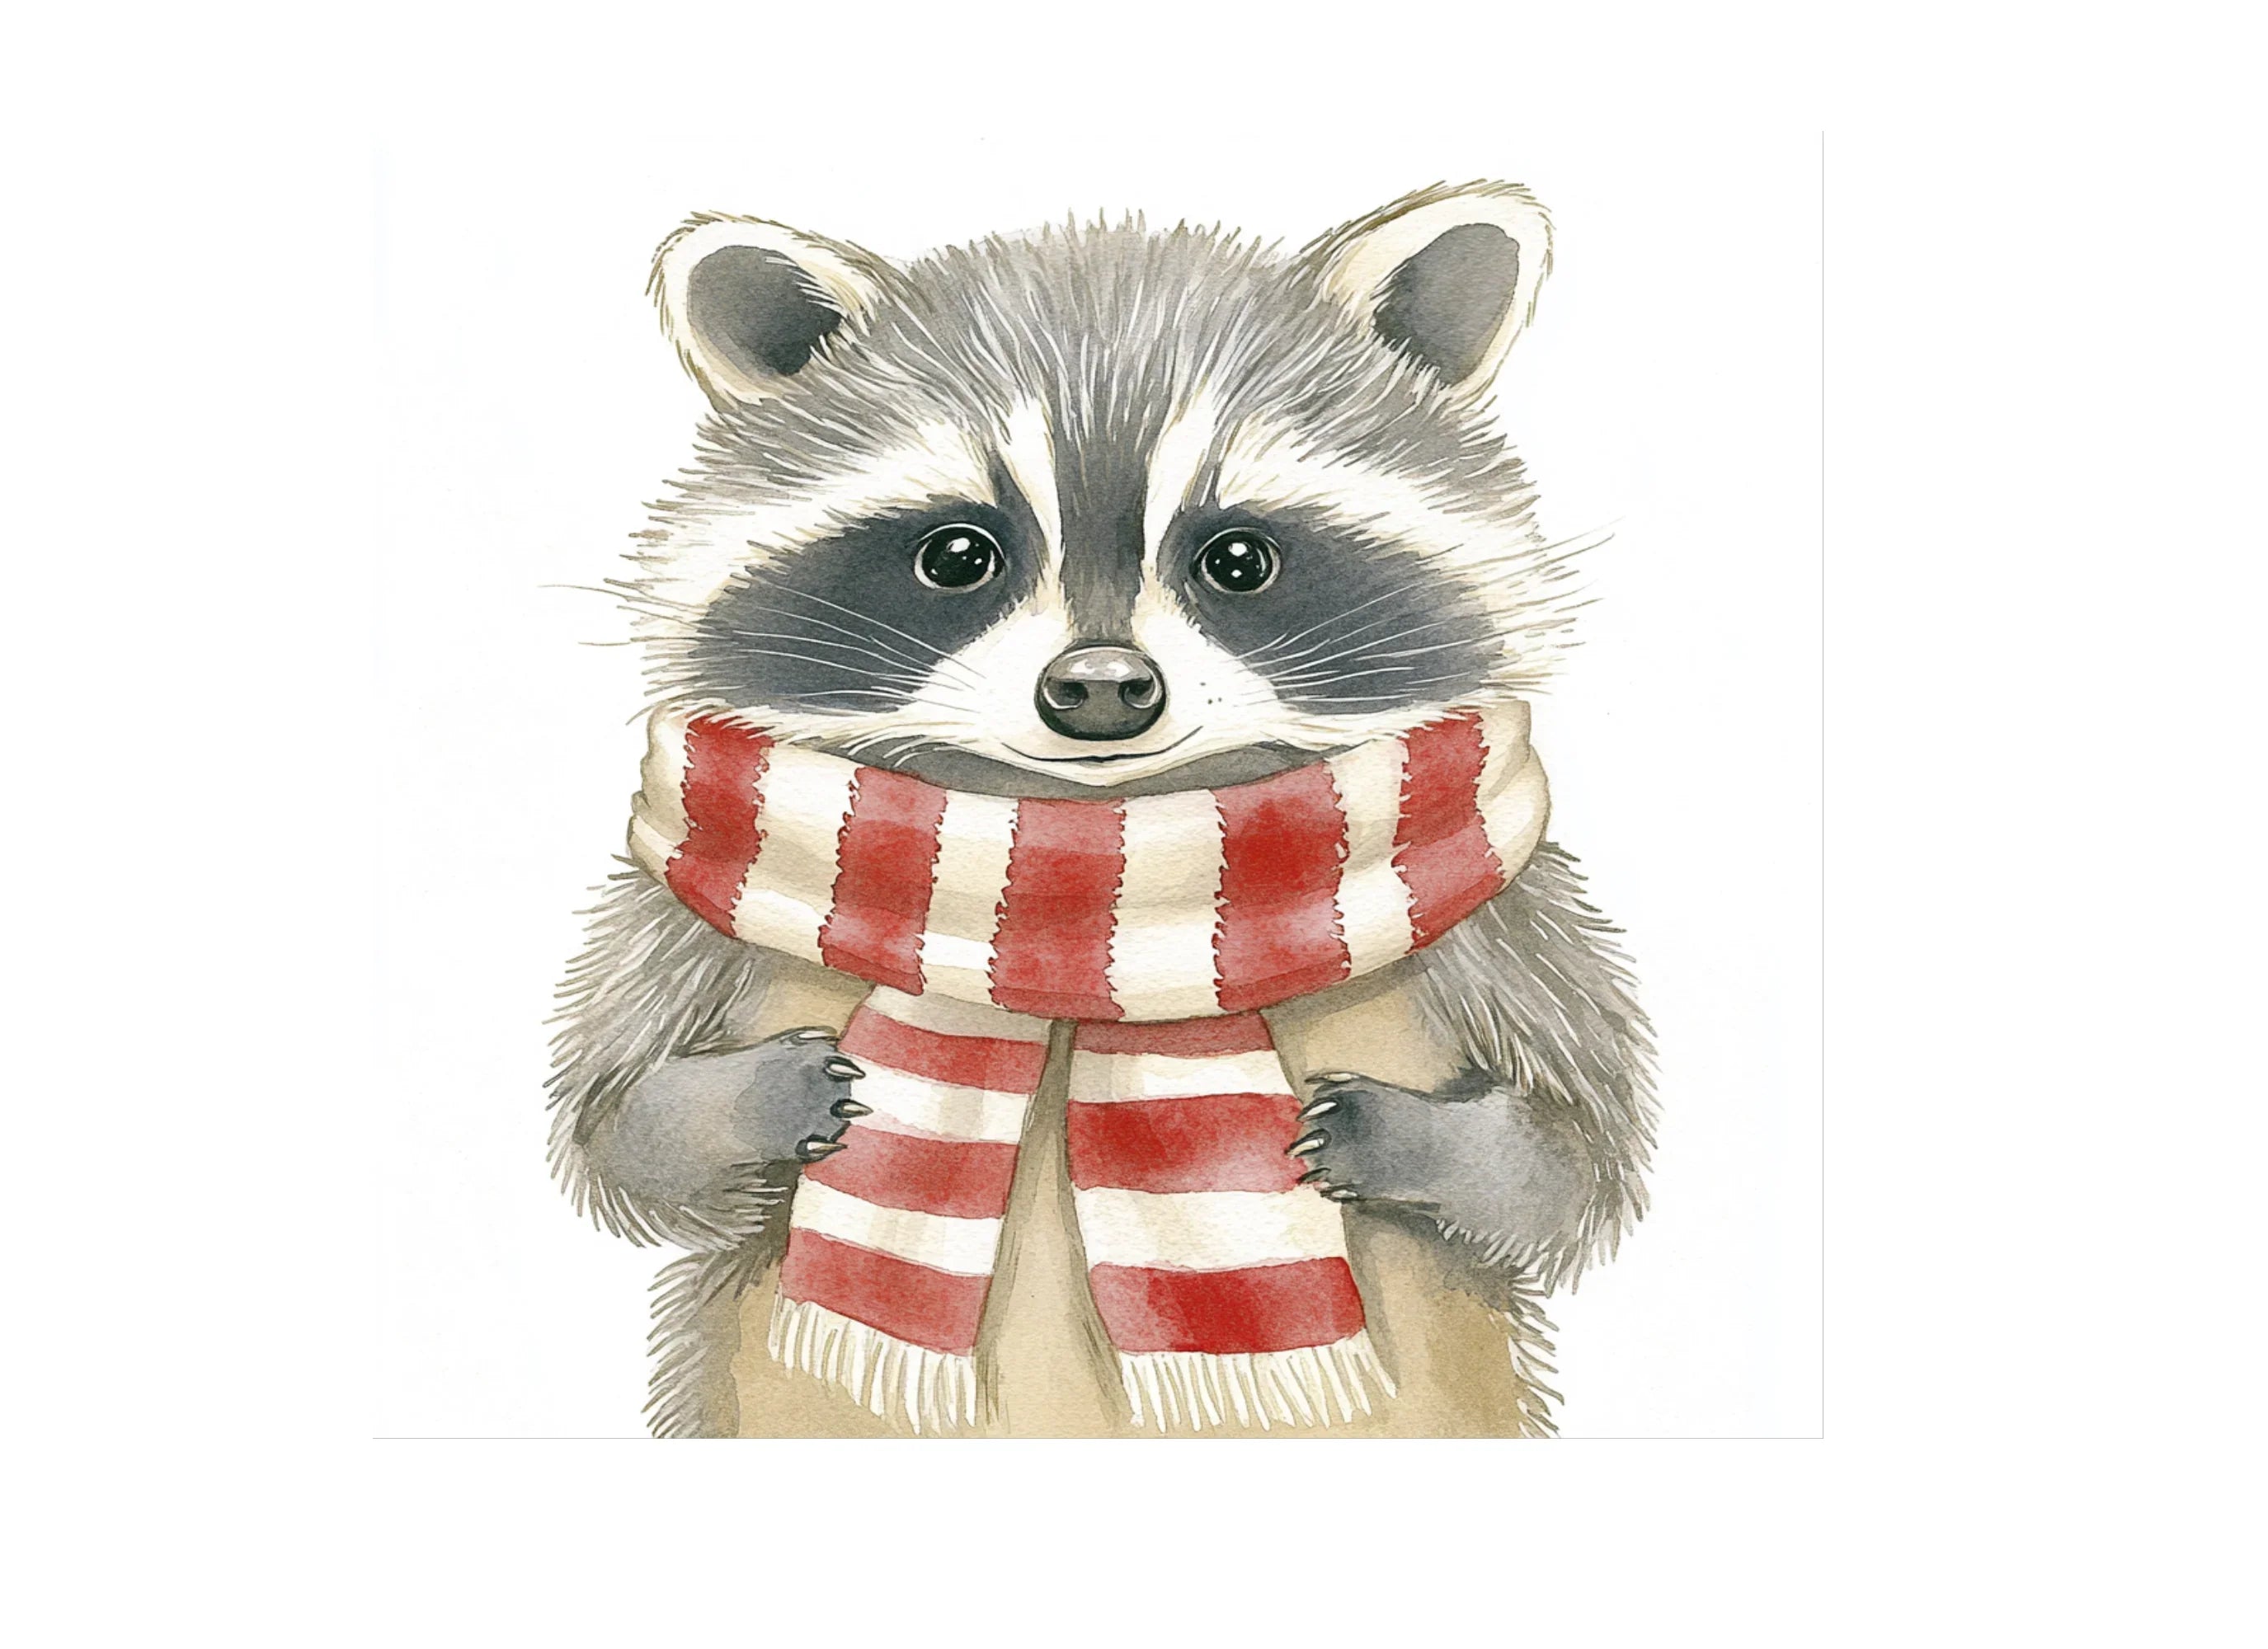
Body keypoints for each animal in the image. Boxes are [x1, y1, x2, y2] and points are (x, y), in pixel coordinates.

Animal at [550, 182, 1655, 1437]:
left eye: (1237, 558)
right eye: (958, 553)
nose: (1099, 689)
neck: (1096, 866)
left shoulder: (1508, 920)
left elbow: (1577, 1167)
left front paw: (1423, 1139)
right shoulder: (677, 928)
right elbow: (612, 1134)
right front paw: (735, 1102)